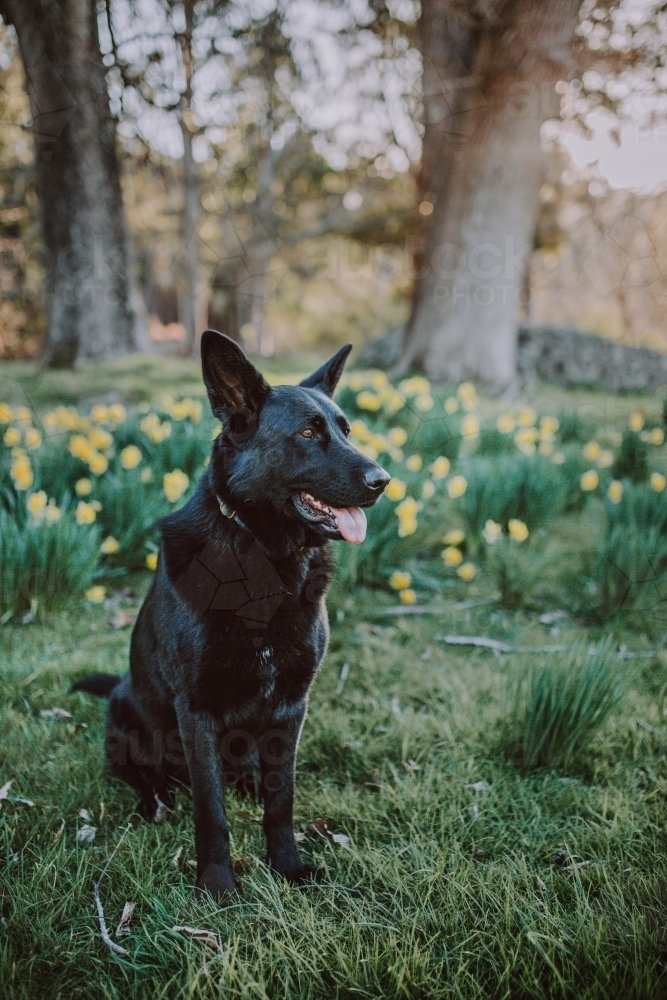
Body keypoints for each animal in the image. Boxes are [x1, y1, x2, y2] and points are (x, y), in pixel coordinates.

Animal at [72, 330, 392, 900]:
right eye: (308, 433)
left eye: (346, 430)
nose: (384, 479)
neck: (263, 555)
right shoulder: (196, 711)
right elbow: (210, 811)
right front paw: (218, 886)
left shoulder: (291, 706)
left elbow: (282, 798)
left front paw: (287, 866)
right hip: (127, 714)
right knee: (144, 776)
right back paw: (156, 802)